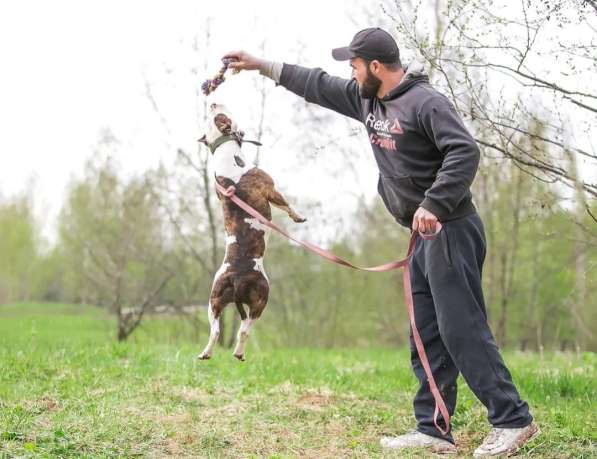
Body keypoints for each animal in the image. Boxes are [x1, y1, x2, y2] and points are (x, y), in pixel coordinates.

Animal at [198, 104, 304, 362]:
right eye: (220, 117)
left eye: (213, 116)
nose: (213, 103)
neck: (226, 154)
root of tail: (237, 278)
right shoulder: (270, 189)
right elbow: (286, 205)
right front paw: (298, 216)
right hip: (261, 299)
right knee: (244, 329)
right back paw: (238, 352)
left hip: (214, 301)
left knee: (216, 330)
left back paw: (206, 353)